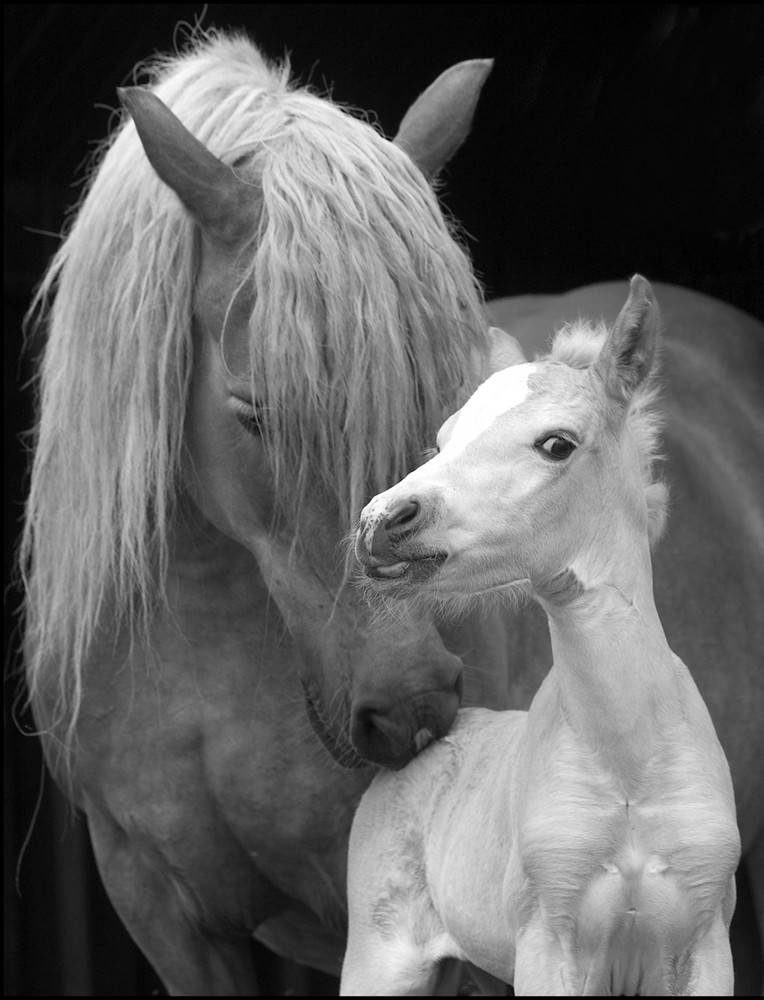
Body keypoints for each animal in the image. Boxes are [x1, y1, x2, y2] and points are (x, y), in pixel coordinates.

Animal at [344, 278, 740, 996]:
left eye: (557, 444)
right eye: (441, 441)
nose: (379, 524)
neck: (628, 762)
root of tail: (425, 740)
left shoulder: (705, 945)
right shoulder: (546, 944)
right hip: (379, 964)